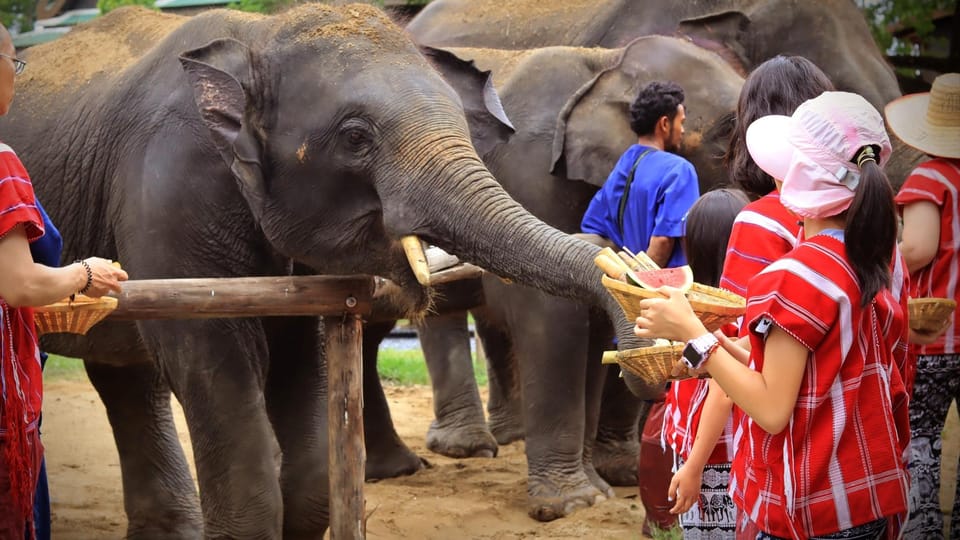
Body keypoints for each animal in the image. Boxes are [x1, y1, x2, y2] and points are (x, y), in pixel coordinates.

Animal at [3, 5, 644, 540]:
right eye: (356, 138)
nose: (636, 357)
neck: (260, 38)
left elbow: (306, 399)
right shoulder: (167, 191)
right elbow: (206, 354)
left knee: (124, 376)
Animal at [360, 35, 744, 520]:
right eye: (727, 130)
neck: (607, 64)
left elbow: (597, 326)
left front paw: (606, 486)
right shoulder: (530, 173)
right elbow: (553, 318)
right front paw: (571, 504)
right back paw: (459, 451)